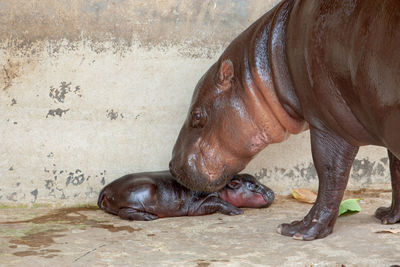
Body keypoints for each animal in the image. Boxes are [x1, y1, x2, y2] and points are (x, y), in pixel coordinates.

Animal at [97, 172, 274, 222]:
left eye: (257, 180)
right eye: (253, 186)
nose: (272, 192)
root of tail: (106, 188)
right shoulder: (199, 204)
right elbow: (218, 200)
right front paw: (237, 211)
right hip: (143, 190)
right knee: (123, 212)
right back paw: (149, 217)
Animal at [169, 0, 400, 242]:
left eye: (197, 115)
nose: (171, 166)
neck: (273, 58)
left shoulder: (329, 124)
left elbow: (330, 174)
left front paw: (299, 230)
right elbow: (395, 170)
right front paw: (388, 216)